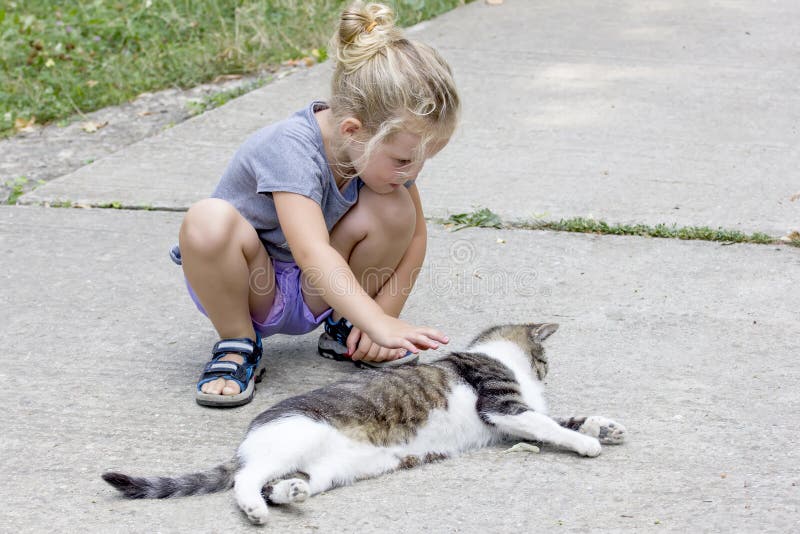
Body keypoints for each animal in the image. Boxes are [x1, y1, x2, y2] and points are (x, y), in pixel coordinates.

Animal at [101, 324, 624, 524]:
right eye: (544, 359)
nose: (545, 371)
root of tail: (249, 439)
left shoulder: (512, 420)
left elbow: (563, 418)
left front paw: (603, 426)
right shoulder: (503, 407)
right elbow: (552, 426)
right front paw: (586, 443)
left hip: (330, 471)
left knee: (279, 484)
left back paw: (291, 493)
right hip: (293, 438)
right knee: (246, 480)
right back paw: (254, 508)